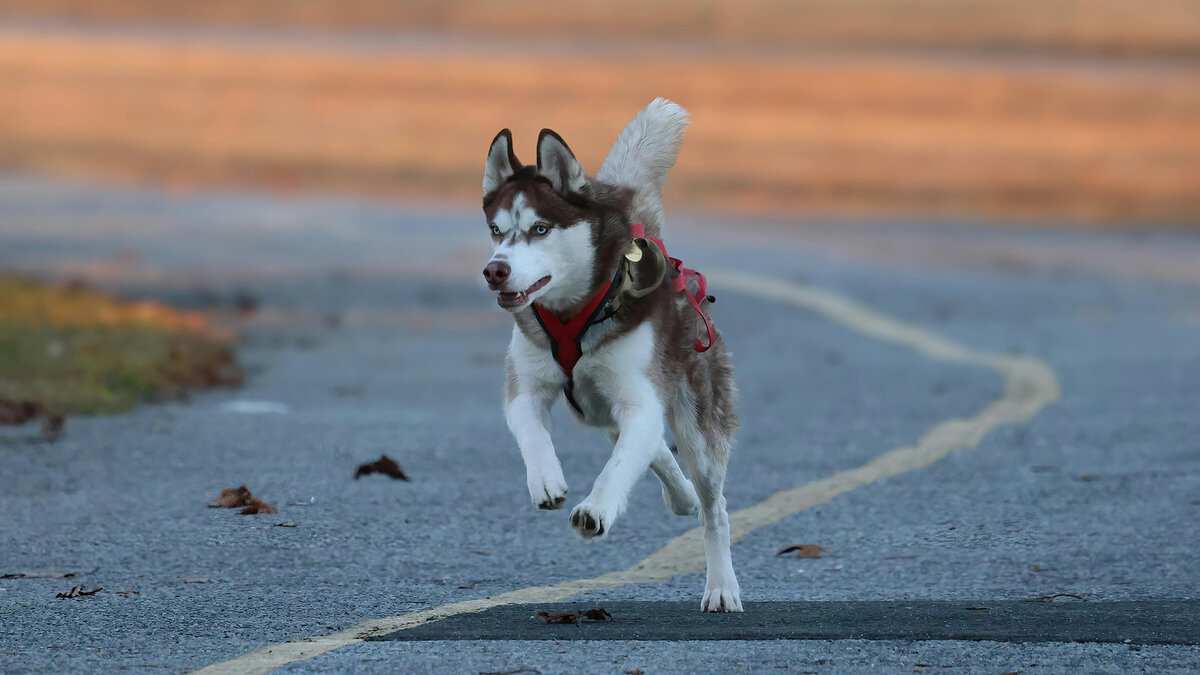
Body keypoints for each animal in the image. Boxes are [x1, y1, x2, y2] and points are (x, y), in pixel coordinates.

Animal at [477, 96, 739, 610]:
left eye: (540, 229)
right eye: (497, 230)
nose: (495, 271)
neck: (574, 312)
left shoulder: (639, 400)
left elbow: (619, 466)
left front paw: (595, 509)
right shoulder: (526, 389)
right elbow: (532, 432)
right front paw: (546, 480)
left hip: (696, 425)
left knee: (713, 507)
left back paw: (721, 584)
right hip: (598, 409)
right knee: (651, 447)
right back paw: (681, 496)